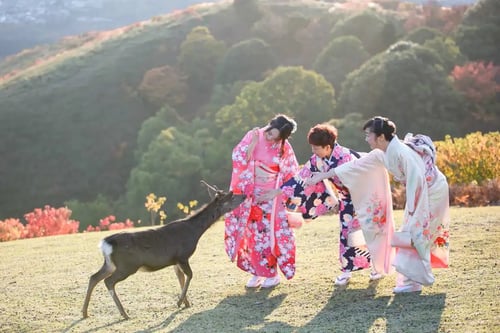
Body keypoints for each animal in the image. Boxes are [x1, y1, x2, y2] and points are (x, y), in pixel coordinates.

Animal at [82, 180, 246, 318]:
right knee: (108, 281)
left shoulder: (175, 260)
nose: (244, 195)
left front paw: (186, 303)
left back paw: (85, 312)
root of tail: (105, 244)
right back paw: (124, 314)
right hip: (127, 265)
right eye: (232, 196)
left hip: (110, 264)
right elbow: (190, 275)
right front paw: (180, 302)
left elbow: (181, 278)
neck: (194, 232)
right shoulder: (182, 255)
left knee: (94, 277)